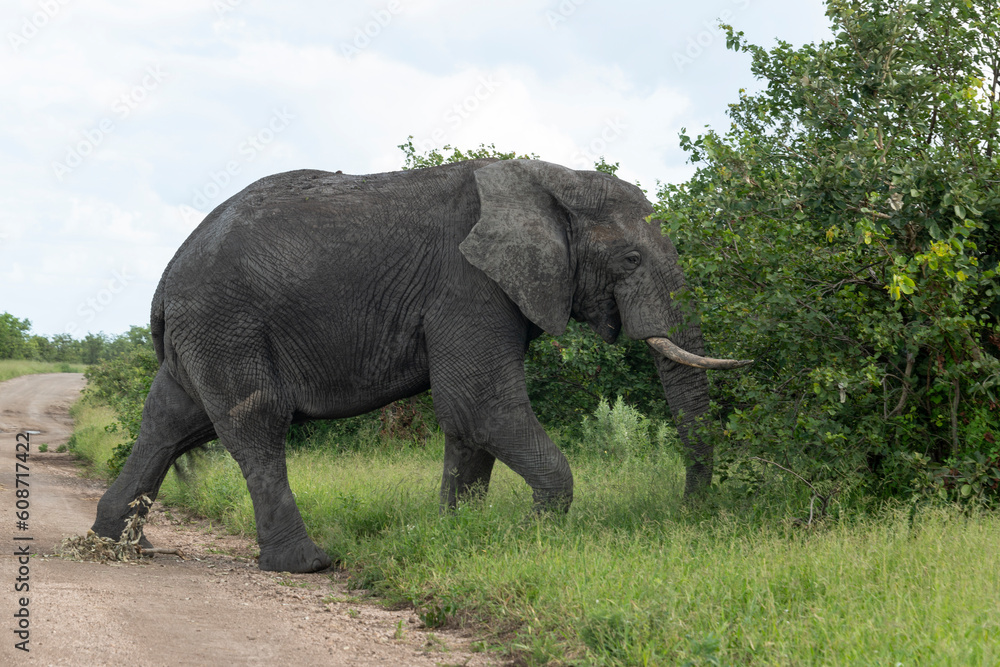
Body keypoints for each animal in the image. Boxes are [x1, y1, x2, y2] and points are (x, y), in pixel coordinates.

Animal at [91, 158, 750, 573]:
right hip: (228, 324)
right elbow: (480, 405)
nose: (688, 513)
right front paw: (532, 536)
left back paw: (121, 547)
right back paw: (307, 564)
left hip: (204, 334)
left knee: (170, 422)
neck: (549, 178)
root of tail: (164, 284)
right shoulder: (469, 285)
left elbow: (467, 423)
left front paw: (461, 536)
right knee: (256, 424)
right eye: (631, 258)